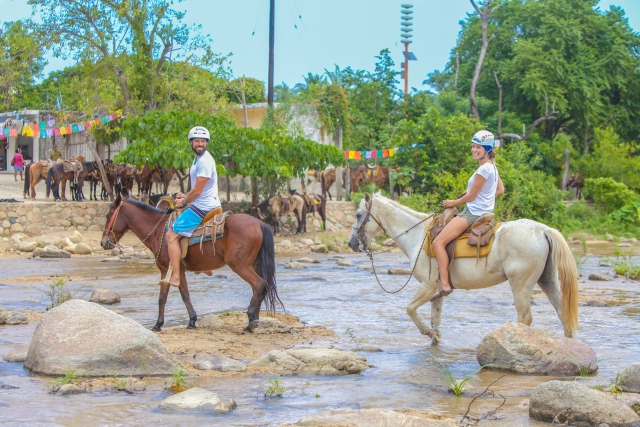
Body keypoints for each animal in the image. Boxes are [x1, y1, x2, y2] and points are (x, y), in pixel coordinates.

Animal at [100, 195, 283, 332]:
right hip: (255, 265)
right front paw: (181, 322)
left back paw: (251, 321)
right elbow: (174, 295)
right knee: (262, 287)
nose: (104, 243)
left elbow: (174, 296)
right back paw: (254, 321)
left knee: (259, 284)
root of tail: (261, 223)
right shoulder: (172, 270)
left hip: (240, 266)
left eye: (108, 216)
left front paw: (169, 323)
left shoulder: (171, 269)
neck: (158, 231)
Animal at [347, 193, 579, 344]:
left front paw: (428, 333)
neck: (418, 236)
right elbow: (435, 320)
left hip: (521, 285)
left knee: (525, 319)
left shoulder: (428, 287)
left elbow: (410, 310)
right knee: (563, 313)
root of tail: (543, 230)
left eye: (358, 215)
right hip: (547, 280)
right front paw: (435, 338)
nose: (351, 243)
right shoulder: (437, 292)